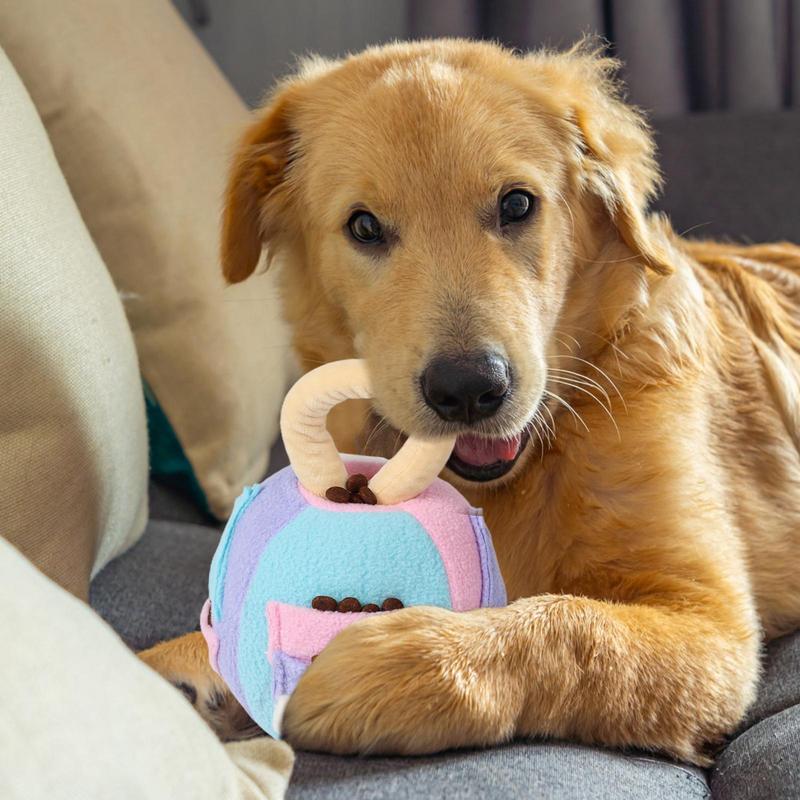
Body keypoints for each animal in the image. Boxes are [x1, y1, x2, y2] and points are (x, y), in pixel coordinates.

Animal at [144, 40, 800, 764]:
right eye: (364, 226)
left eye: (516, 205)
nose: (468, 390)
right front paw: (173, 672)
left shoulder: (712, 624)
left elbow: (571, 625)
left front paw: (384, 665)